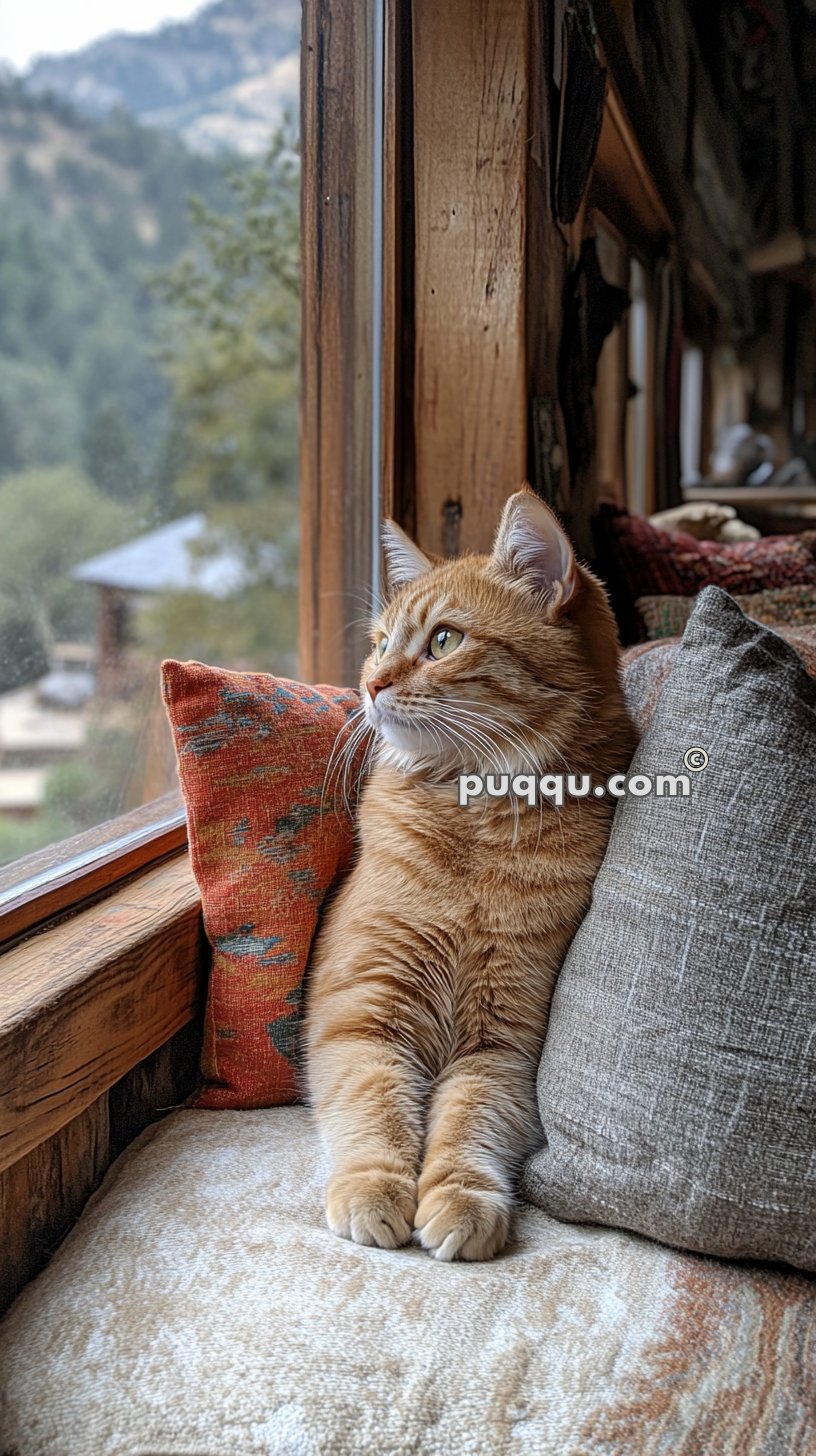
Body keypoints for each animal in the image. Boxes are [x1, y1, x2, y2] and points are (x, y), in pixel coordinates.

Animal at [303, 492, 635, 1263]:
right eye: (380, 643)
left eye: (444, 641)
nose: (370, 684)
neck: (474, 822)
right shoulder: (361, 1017)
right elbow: (375, 1105)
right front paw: (374, 1185)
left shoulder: (502, 1045)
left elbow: (470, 1123)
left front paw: (462, 1198)